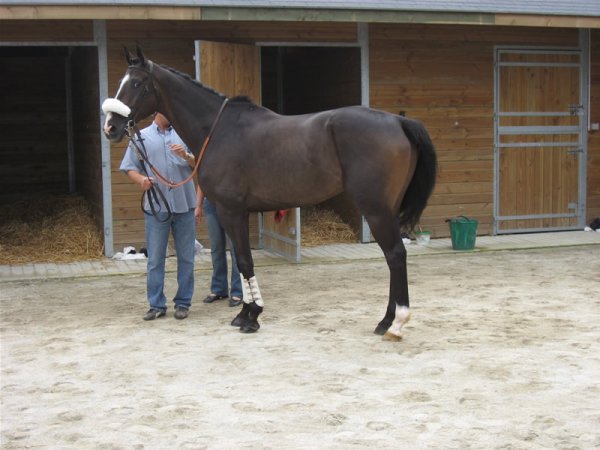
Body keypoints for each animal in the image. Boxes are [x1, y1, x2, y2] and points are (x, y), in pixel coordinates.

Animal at [103, 46, 436, 342]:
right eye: (121, 82)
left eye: (136, 83)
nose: (110, 127)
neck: (218, 129)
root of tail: (398, 120)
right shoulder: (235, 213)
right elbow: (241, 261)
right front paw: (245, 313)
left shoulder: (231, 210)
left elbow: (244, 262)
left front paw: (251, 317)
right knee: (392, 257)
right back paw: (385, 321)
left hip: (376, 209)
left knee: (395, 254)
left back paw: (397, 324)